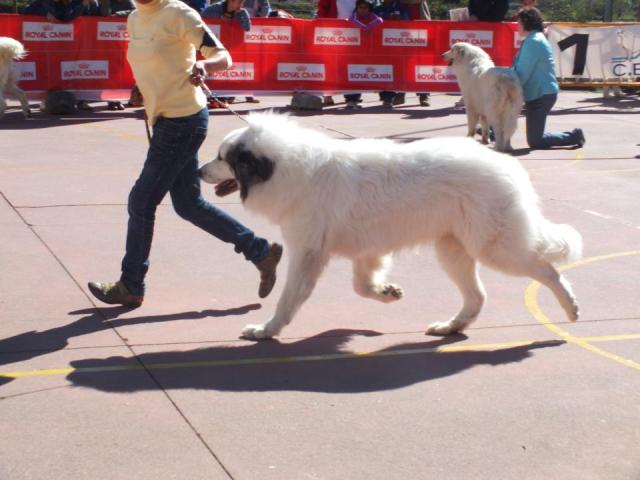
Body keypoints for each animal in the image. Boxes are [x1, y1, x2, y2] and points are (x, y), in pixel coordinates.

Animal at [200, 111, 580, 342]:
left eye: (222, 158)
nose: (200, 170)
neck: (286, 168)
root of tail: (505, 164)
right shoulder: (365, 251)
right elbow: (361, 286)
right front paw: (387, 293)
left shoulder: (307, 253)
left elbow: (288, 299)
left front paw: (266, 330)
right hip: (453, 250)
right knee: (477, 296)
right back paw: (450, 326)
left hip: (496, 248)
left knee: (548, 271)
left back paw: (571, 308)